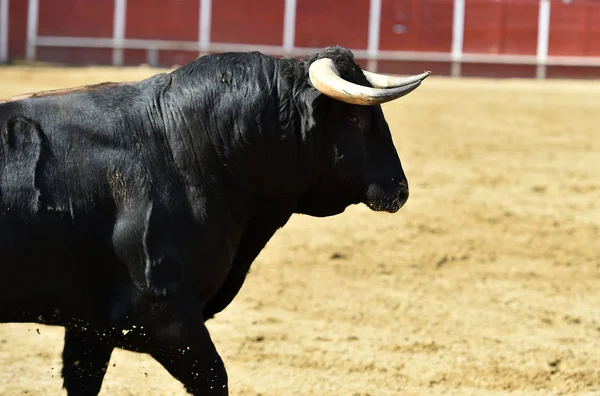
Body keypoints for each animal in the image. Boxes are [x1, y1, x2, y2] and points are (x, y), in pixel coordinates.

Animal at [0, 46, 426, 392]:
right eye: (355, 120)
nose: (400, 188)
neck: (181, 145)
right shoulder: (165, 316)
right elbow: (214, 378)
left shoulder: (91, 325)